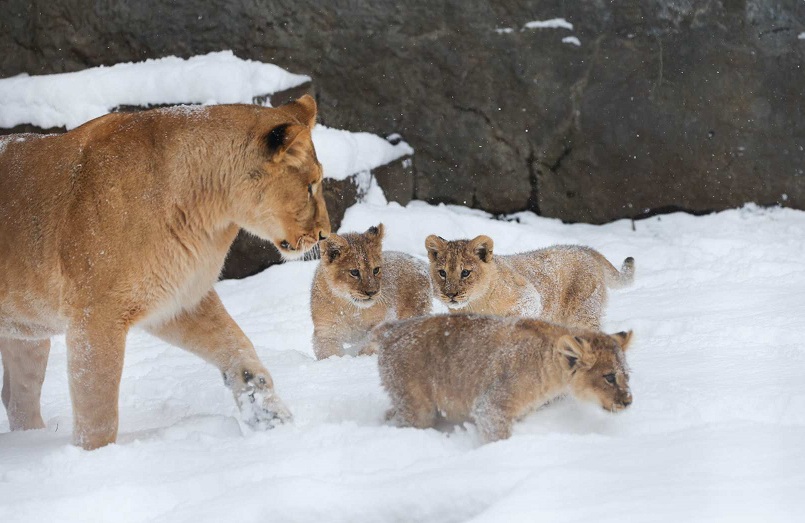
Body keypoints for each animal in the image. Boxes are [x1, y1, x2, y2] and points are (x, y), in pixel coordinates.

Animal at [0, 96, 330, 448]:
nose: (324, 234)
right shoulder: (95, 316)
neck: (211, 214)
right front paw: (96, 456)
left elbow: (239, 350)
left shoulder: (179, 301)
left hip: (27, 337)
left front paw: (272, 418)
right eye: (310, 186)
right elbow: (98, 404)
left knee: (18, 399)